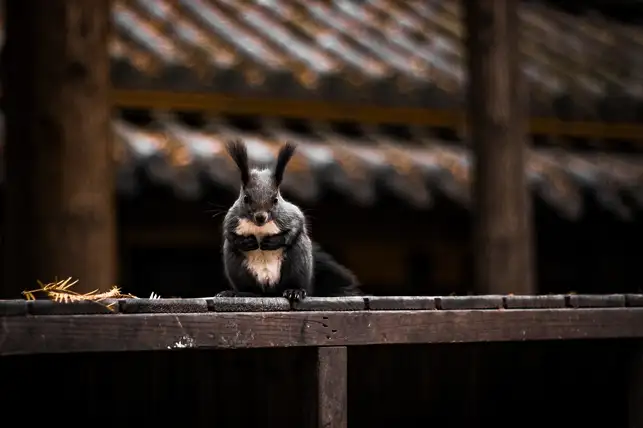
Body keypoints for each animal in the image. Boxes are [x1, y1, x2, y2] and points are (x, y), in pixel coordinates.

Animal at [217, 139, 362, 301]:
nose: (261, 217)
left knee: (295, 281)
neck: (260, 227)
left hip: (298, 261)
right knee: (251, 289)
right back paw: (238, 292)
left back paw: (294, 291)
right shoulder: (231, 218)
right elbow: (228, 234)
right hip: (237, 268)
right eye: (246, 198)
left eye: (275, 200)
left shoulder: (291, 214)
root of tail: (270, 291)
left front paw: (274, 241)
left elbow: (296, 226)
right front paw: (246, 242)